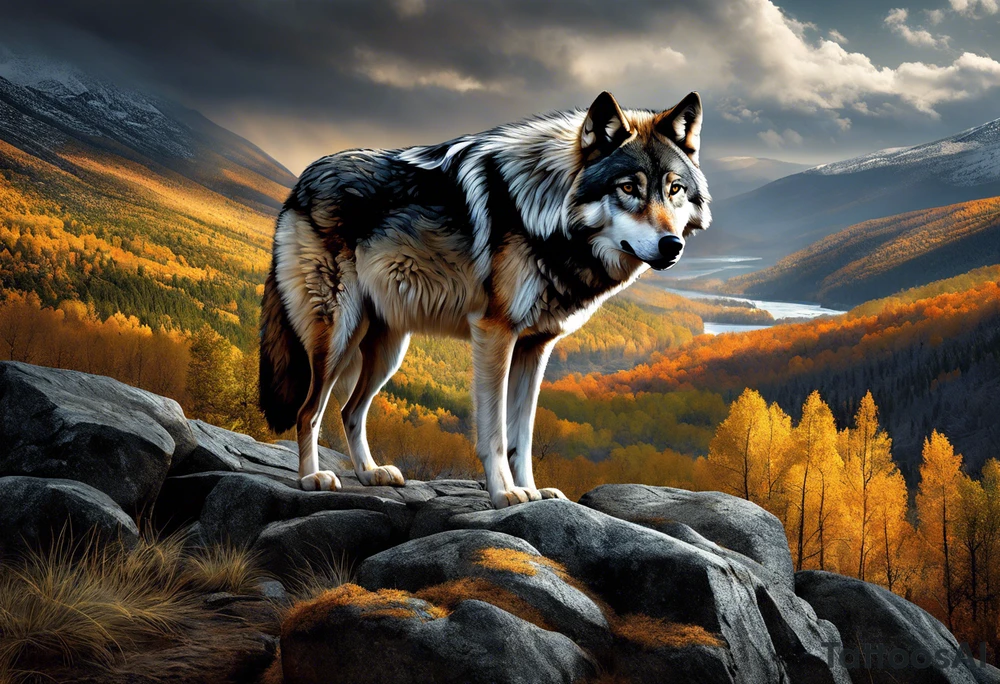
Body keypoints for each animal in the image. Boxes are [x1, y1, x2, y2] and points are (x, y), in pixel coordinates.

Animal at [259, 91, 711, 508]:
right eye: (628, 188)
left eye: (674, 189)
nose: (671, 245)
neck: (545, 213)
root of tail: (301, 181)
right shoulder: (496, 333)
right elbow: (494, 431)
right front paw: (505, 493)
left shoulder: (535, 346)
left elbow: (521, 436)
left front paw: (532, 491)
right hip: (339, 334)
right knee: (309, 411)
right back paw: (312, 478)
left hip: (389, 350)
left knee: (349, 410)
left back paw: (371, 473)